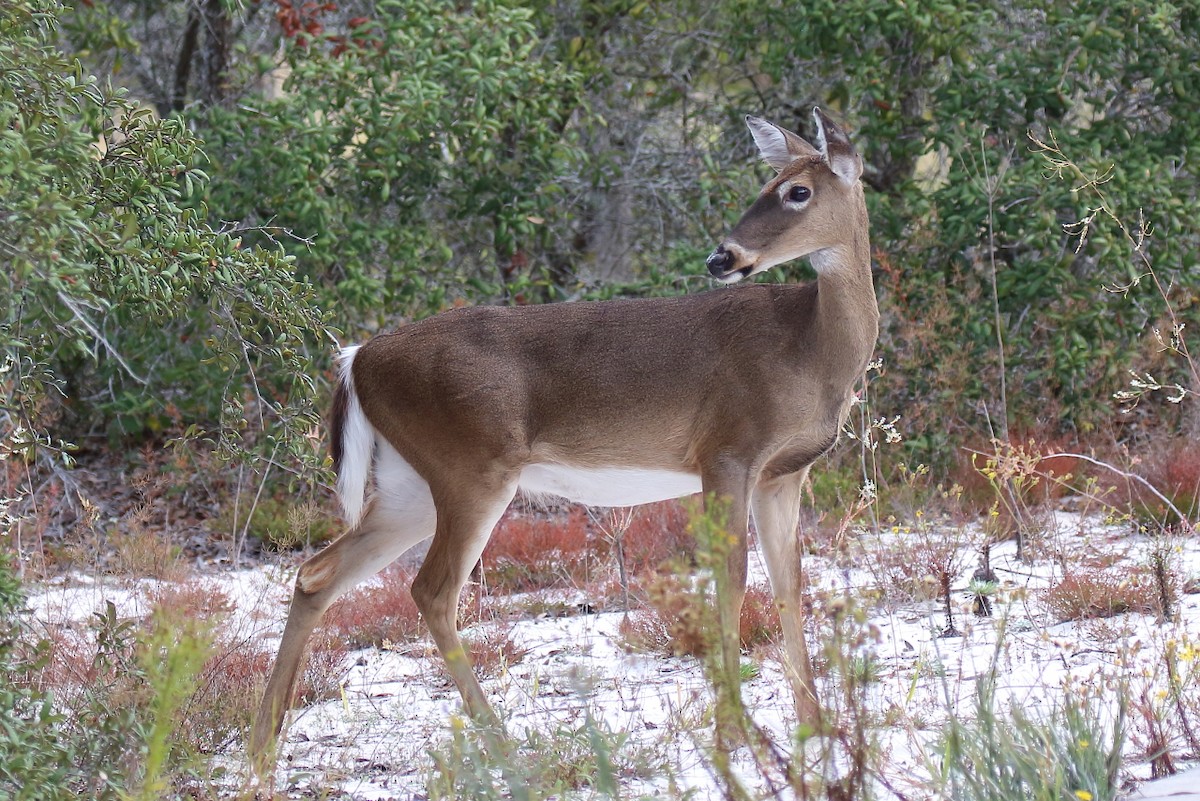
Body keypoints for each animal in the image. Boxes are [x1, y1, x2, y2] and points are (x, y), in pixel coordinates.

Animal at [249, 107, 877, 770]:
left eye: (796, 191)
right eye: (770, 184)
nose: (720, 257)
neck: (810, 349)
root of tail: (357, 358)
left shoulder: (783, 472)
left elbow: (790, 583)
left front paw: (816, 730)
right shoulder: (727, 451)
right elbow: (731, 579)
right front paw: (735, 736)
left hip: (408, 486)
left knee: (317, 574)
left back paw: (263, 744)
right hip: (471, 467)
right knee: (433, 590)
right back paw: (502, 744)